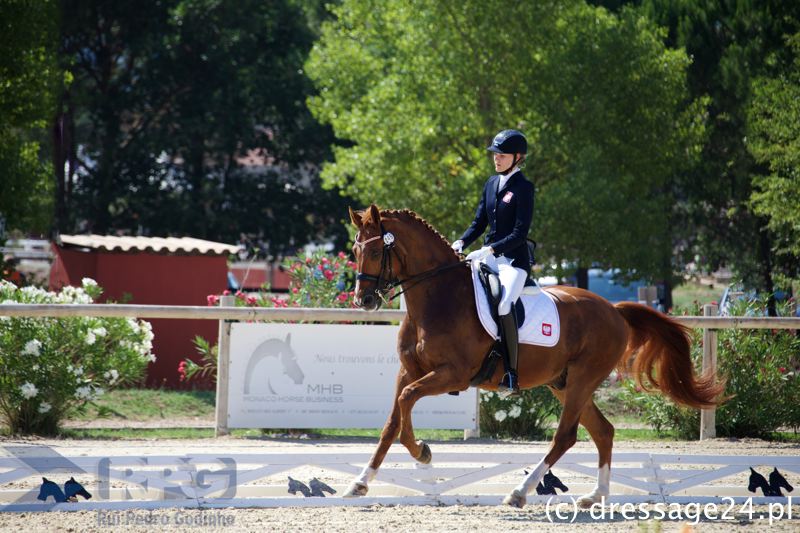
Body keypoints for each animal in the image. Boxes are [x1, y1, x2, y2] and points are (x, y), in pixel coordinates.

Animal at [345, 205, 726, 508]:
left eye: (376, 252)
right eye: (354, 249)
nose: (364, 301)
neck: (439, 297)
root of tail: (614, 310)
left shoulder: (453, 374)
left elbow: (407, 402)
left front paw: (421, 450)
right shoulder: (408, 372)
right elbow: (392, 422)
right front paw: (360, 483)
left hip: (582, 379)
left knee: (566, 437)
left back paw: (519, 492)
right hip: (565, 383)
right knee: (603, 431)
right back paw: (594, 496)